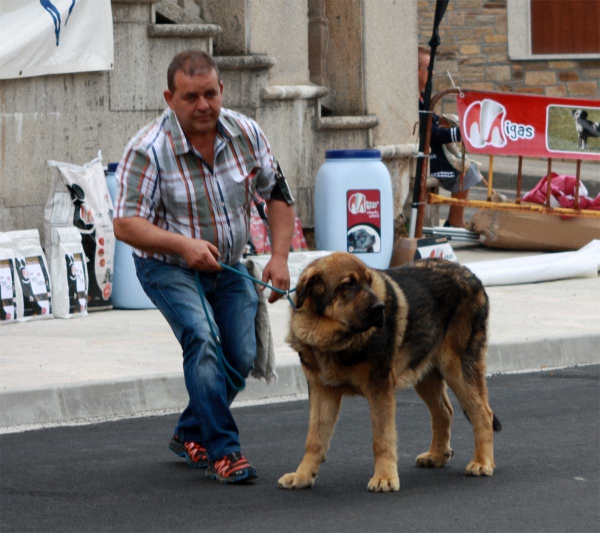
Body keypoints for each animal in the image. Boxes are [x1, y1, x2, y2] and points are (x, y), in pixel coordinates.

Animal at [278, 251, 502, 492]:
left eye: (369, 282)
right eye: (347, 285)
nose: (380, 308)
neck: (333, 338)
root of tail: (471, 275)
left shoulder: (380, 389)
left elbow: (382, 438)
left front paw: (384, 477)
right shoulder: (322, 392)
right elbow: (315, 439)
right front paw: (302, 475)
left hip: (458, 368)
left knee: (483, 414)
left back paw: (482, 462)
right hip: (426, 375)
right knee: (444, 411)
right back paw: (437, 455)